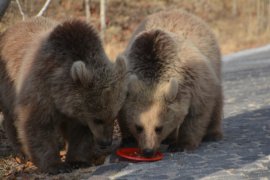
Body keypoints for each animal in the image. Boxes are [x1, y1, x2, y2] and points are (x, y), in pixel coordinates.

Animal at [0, 17, 128, 174]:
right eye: (98, 119)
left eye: (114, 116)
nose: (106, 142)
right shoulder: (41, 88)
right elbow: (37, 125)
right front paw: (55, 165)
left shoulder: (76, 109)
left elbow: (79, 132)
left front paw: (77, 161)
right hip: (7, 87)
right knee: (11, 118)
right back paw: (22, 153)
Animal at [118, 9, 224, 157]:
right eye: (138, 127)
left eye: (159, 128)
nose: (148, 151)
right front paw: (128, 140)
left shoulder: (194, 79)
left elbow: (197, 112)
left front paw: (182, 144)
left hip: (214, 64)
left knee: (217, 100)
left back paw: (213, 134)